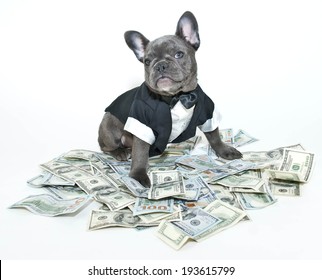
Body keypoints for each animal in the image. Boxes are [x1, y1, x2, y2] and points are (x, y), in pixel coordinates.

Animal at [98, 10, 242, 187]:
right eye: (147, 62)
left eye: (178, 54)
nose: (160, 65)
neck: (177, 96)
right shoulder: (141, 123)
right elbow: (140, 153)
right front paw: (138, 176)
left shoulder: (207, 110)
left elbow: (214, 136)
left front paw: (225, 151)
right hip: (109, 127)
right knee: (106, 146)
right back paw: (120, 152)